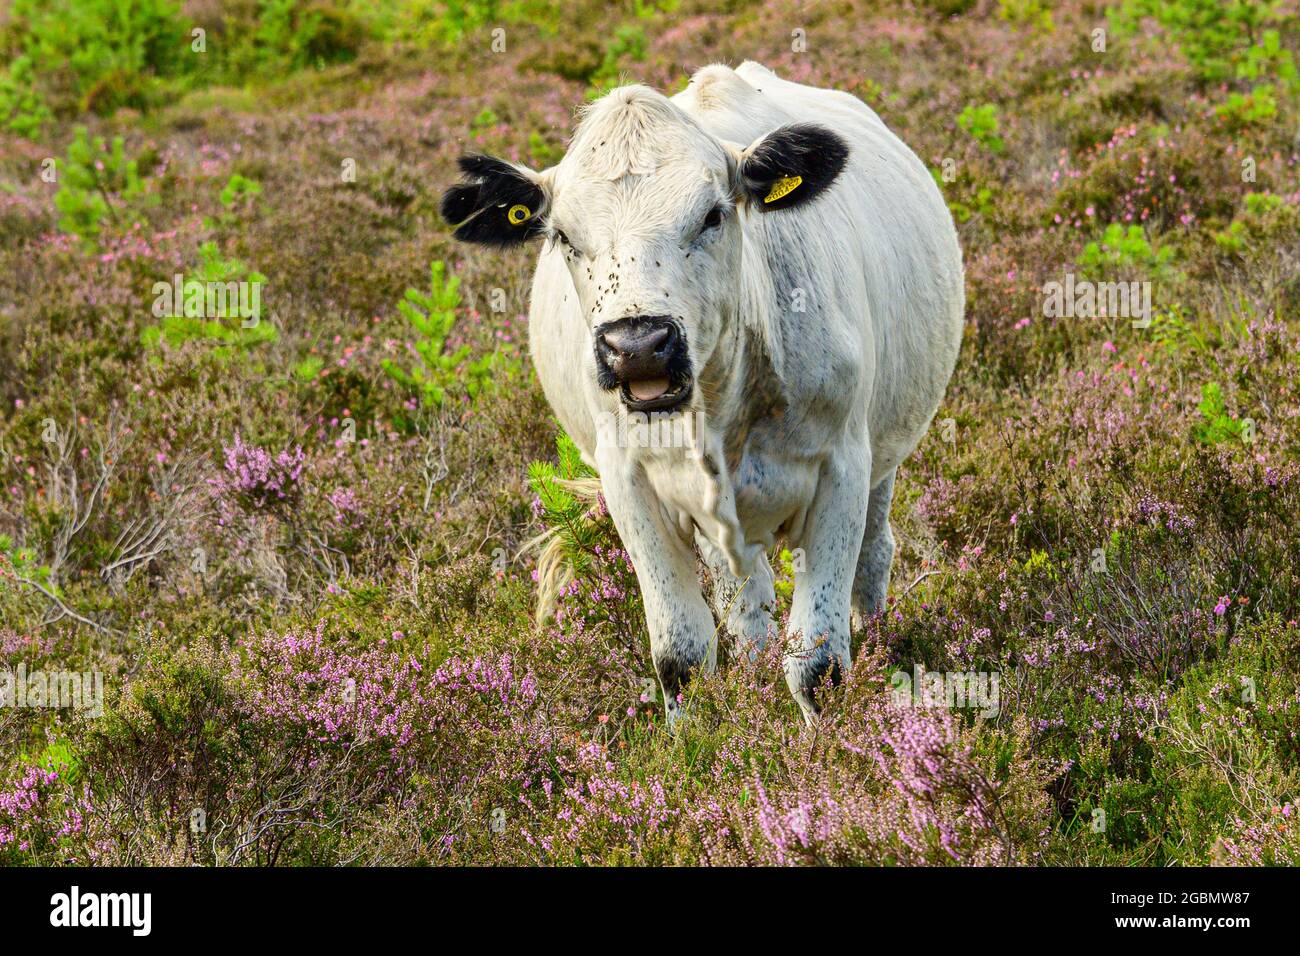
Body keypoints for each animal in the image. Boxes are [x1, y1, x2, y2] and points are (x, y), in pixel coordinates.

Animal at [441, 63, 961, 723]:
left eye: (714, 214)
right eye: (563, 235)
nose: (638, 344)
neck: (723, 407)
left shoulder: (843, 466)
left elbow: (818, 664)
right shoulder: (629, 481)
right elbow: (682, 654)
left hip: (885, 453)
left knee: (873, 555)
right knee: (746, 600)